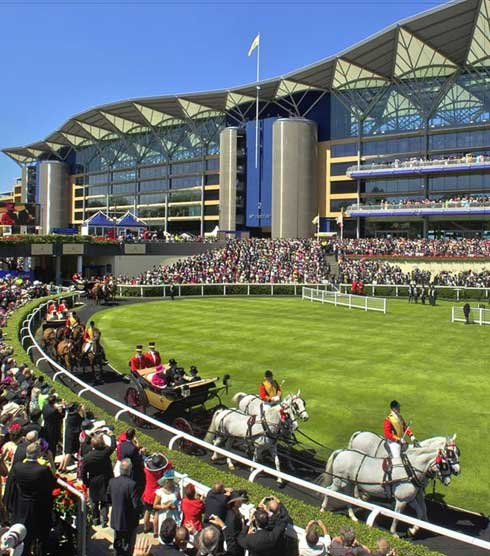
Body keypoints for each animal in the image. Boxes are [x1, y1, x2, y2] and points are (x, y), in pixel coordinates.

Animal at [320, 448, 454, 536]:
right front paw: (394, 533)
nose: (448, 481)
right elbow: (397, 516)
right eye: (444, 464)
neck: (408, 470)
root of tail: (341, 451)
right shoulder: (401, 500)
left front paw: (413, 530)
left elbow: (420, 512)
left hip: (349, 482)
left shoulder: (409, 499)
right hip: (339, 481)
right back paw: (323, 508)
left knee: (348, 497)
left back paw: (353, 516)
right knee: (329, 490)